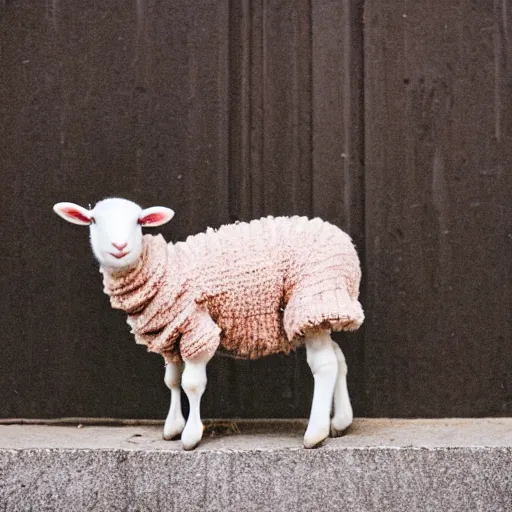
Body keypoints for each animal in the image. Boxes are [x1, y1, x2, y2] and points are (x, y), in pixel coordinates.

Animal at [53, 198, 364, 450]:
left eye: (139, 221)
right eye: (94, 220)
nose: (119, 247)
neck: (165, 267)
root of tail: (348, 247)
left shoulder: (196, 326)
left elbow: (191, 383)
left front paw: (191, 436)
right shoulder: (170, 333)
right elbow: (172, 380)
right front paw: (172, 428)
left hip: (314, 297)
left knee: (325, 364)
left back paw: (315, 433)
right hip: (323, 307)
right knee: (338, 358)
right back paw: (340, 422)